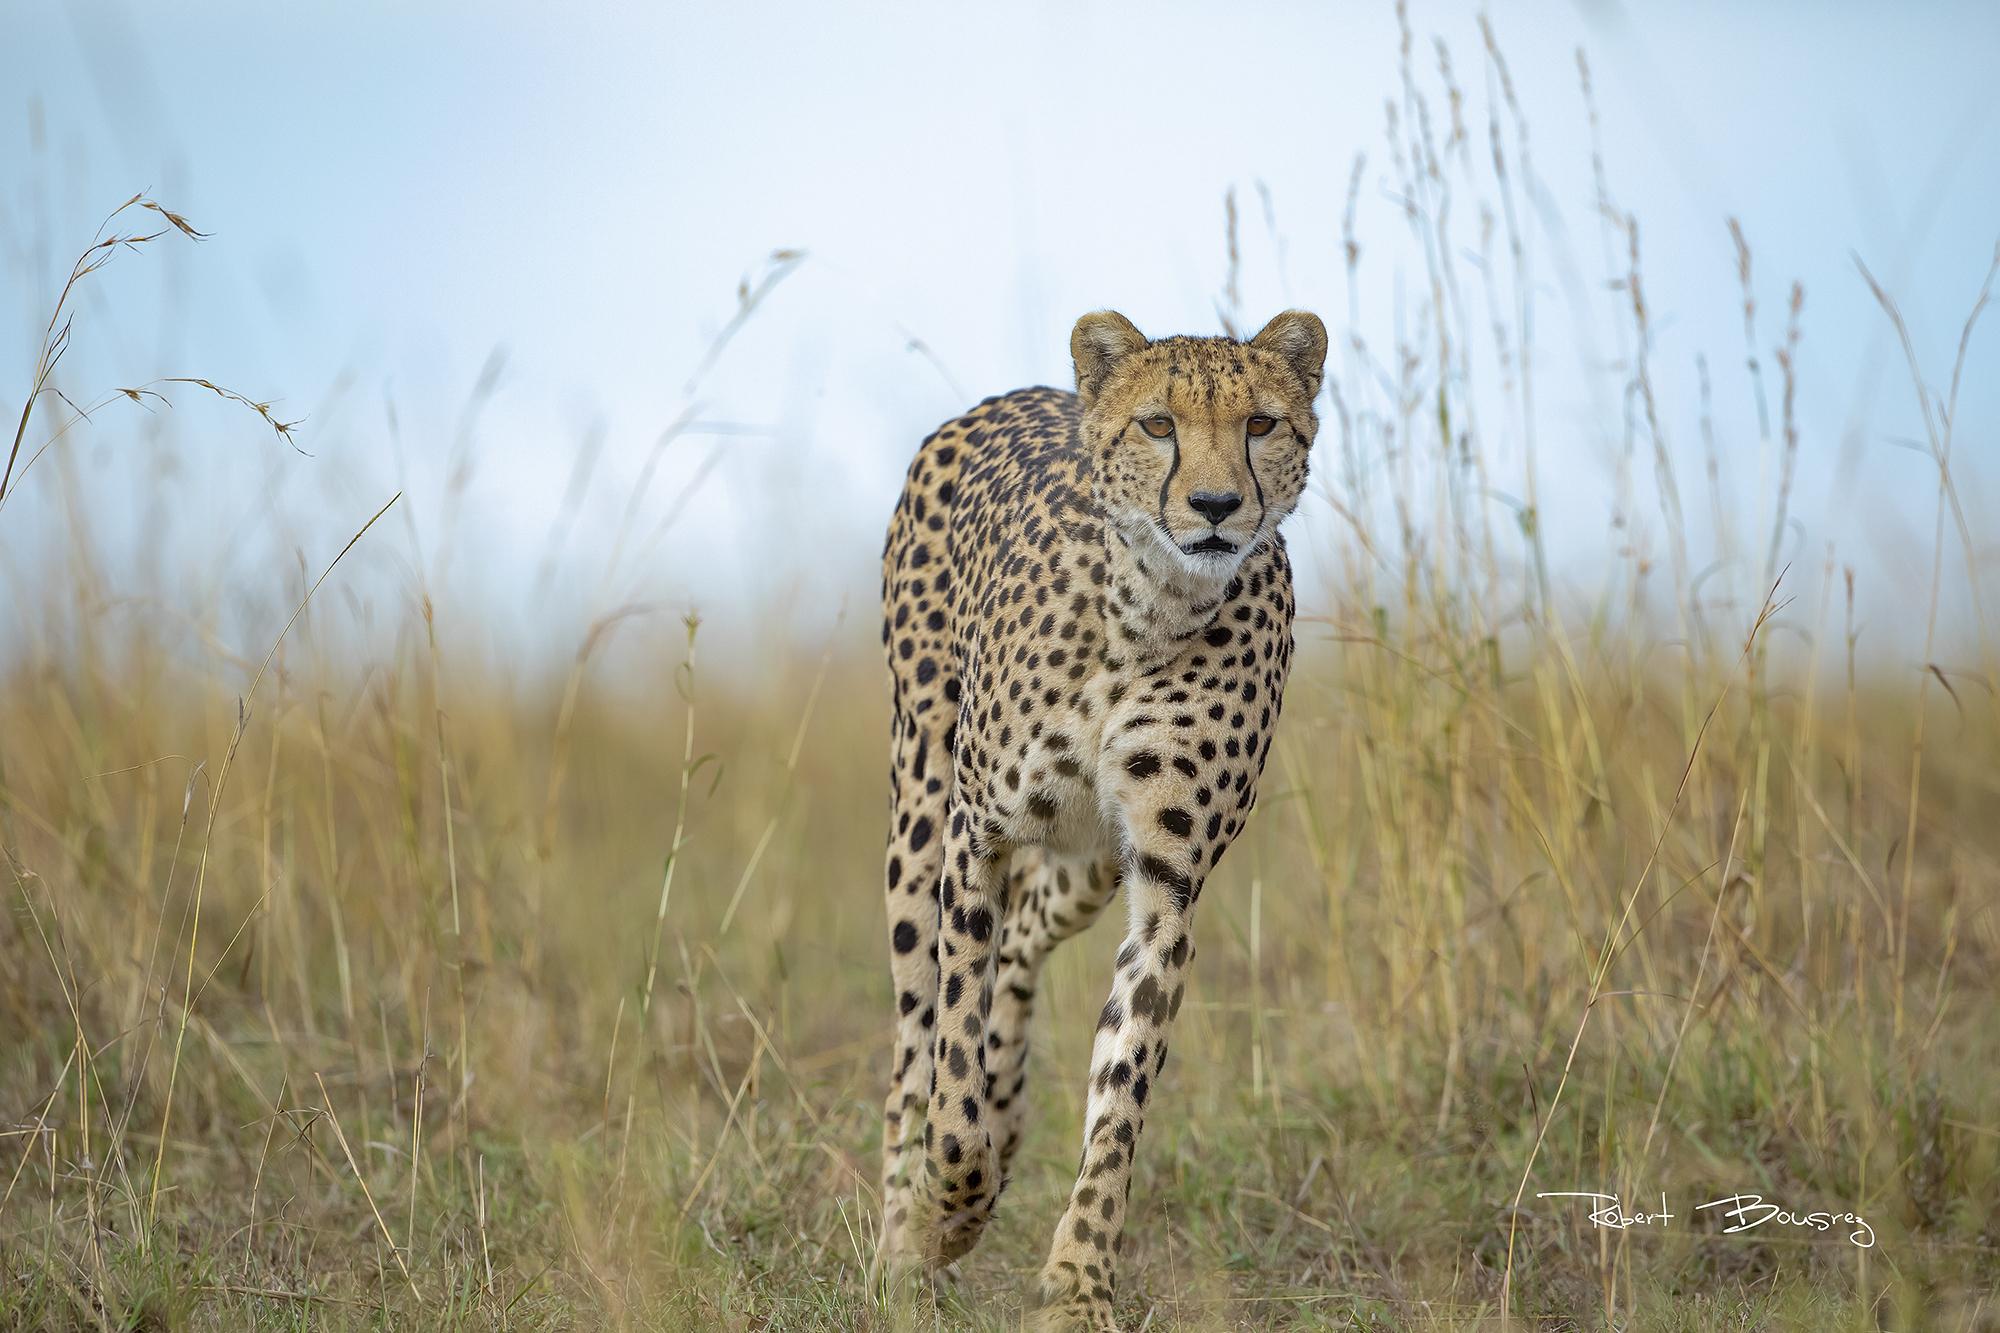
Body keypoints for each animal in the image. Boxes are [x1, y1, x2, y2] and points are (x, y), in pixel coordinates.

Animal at [876, 306, 1328, 1320]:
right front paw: (944, 1214)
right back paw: (892, 1237)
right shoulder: (978, 830)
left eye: (1261, 424)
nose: (1214, 505)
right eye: (1159, 424)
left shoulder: (1165, 879)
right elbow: (950, 1062)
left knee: (1021, 945)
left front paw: (1078, 1283)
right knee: (915, 1029)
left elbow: (1121, 1092)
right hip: (921, 796)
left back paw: (1006, 1106)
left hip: (1086, 860)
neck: (1150, 609)